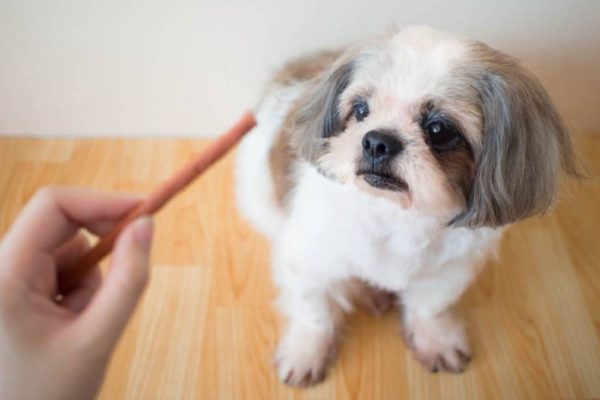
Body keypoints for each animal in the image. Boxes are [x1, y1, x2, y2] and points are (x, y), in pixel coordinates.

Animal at [233, 25, 576, 388]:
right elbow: (315, 312)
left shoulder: (449, 269)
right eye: (360, 110)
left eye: (439, 130)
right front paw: (306, 351)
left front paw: (435, 337)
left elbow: (429, 306)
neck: (397, 215)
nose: (377, 141)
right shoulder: (307, 260)